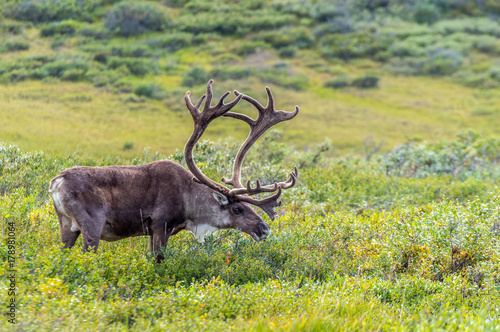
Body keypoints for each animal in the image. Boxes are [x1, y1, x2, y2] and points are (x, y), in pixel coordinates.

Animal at [48, 80, 298, 262]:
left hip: (67, 225)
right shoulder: (160, 224)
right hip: (92, 225)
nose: (264, 229)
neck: (189, 200)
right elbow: (158, 259)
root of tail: (56, 182)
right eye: (237, 208)